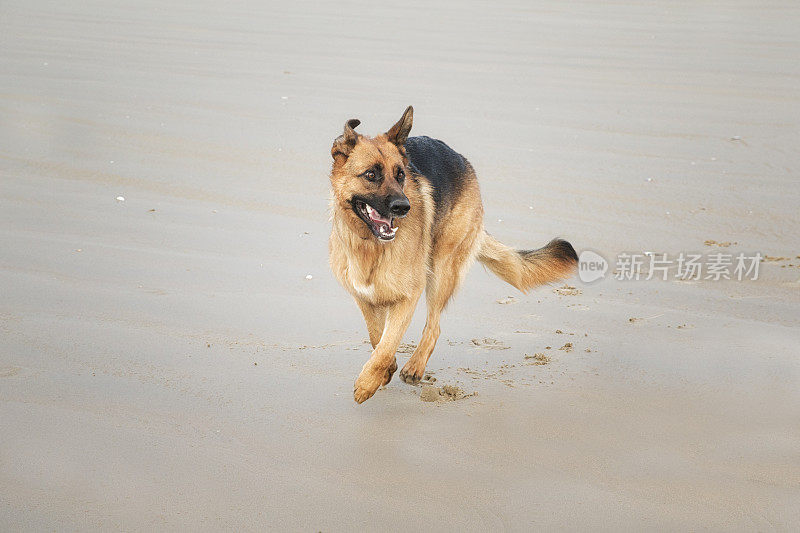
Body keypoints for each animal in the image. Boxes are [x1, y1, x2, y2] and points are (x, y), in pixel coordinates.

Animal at [328, 106, 580, 402]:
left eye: (400, 175)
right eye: (370, 175)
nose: (403, 207)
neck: (371, 246)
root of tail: (461, 159)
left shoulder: (408, 297)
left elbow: (387, 344)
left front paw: (368, 383)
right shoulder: (363, 297)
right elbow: (378, 337)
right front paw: (384, 371)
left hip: (441, 270)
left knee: (434, 326)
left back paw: (415, 366)